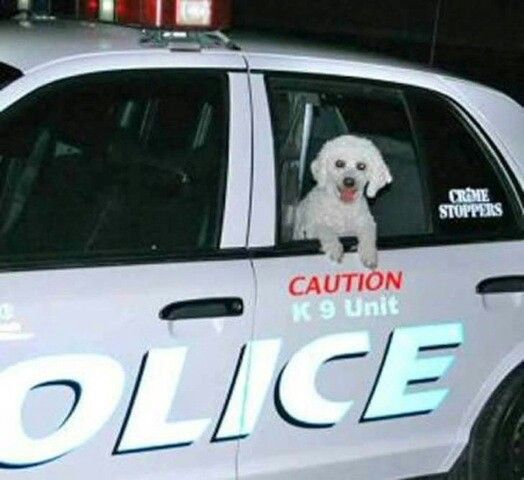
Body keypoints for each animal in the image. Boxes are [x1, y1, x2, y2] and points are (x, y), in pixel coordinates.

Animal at [292, 135, 390, 268]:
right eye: (339, 163)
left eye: (361, 166)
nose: (349, 181)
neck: (342, 207)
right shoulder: (312, 227)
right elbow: (326, 230)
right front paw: (334, 248)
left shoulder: (366, 222)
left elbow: (368, 234)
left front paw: (369, 253)